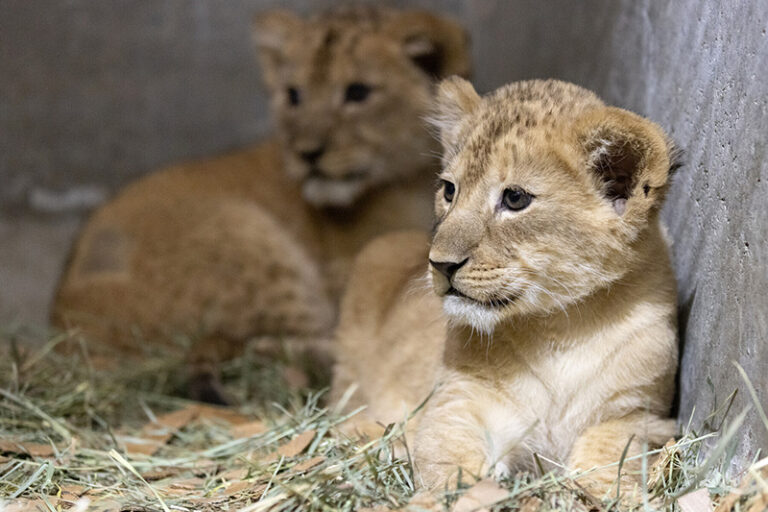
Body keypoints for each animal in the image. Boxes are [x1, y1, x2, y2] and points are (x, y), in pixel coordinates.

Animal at [51, 7, 470, 400]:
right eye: (294, 95)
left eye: (358, 92)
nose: (307, 154)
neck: (406, 181)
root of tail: (64, 330)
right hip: (249, 241)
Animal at [331, 77, 681, 500]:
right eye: (449, 190)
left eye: (515, 198)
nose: (440, 264)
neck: (558, 329)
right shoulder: (460, 397)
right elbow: (446, 456)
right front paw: (450, 495)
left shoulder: (640, 413)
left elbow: (609, 457)